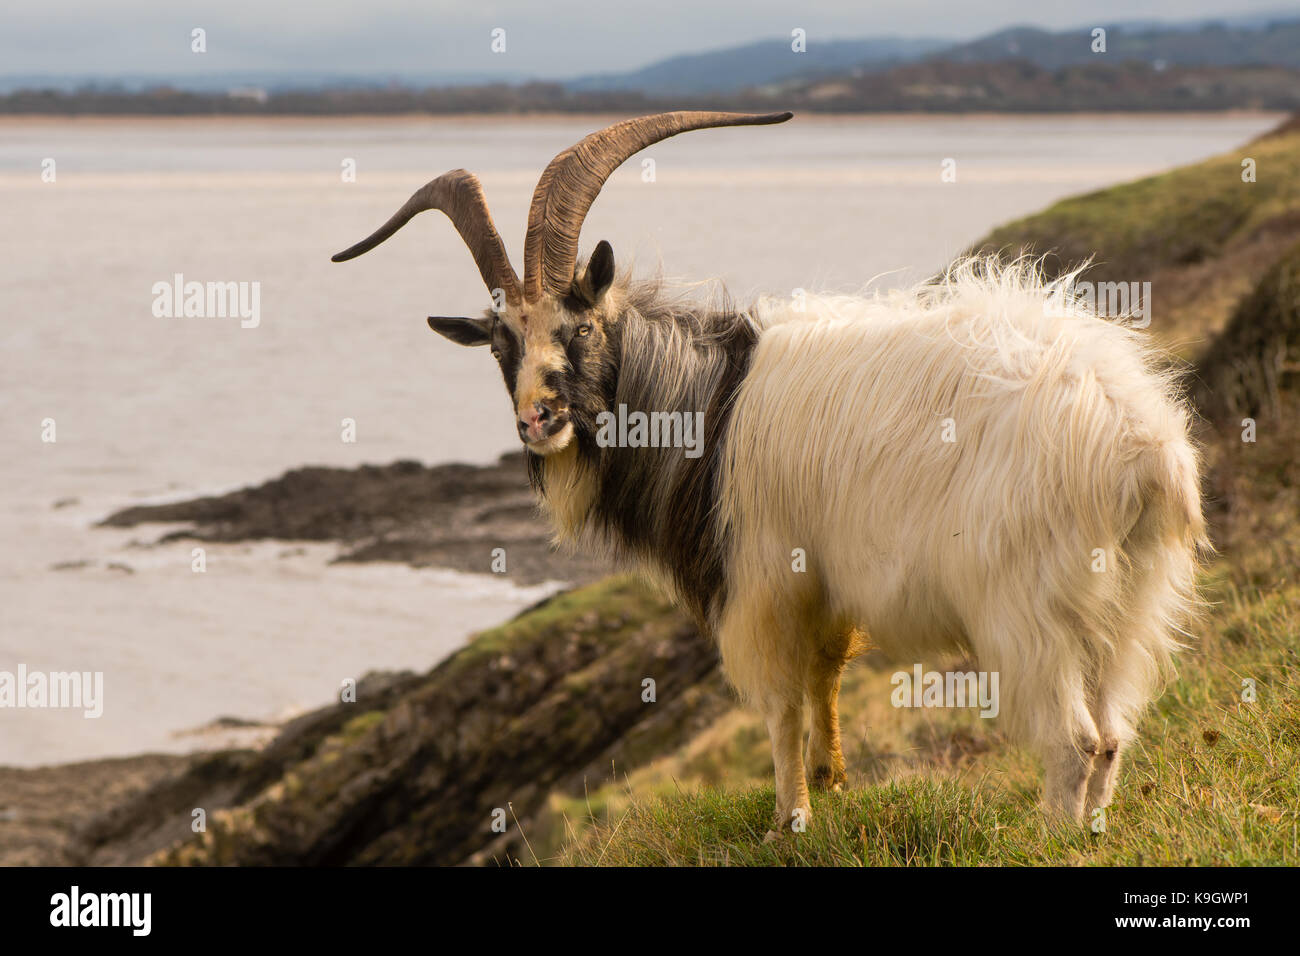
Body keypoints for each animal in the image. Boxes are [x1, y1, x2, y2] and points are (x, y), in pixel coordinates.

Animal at [335, 110, 1206, 832]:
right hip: (1131, 600)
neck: (706, 399)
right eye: (499, 344)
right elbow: (824, 681)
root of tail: (1138, 443)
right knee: (1114, 734)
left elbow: (782, 706)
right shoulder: (823, 588)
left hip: (1028, 609)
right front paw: (834, 786)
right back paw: (1093, 832)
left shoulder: (762, 581)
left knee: (1072, 741)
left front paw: (789, 821)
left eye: (579, 325)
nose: (538, 419)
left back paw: (1051, 838)